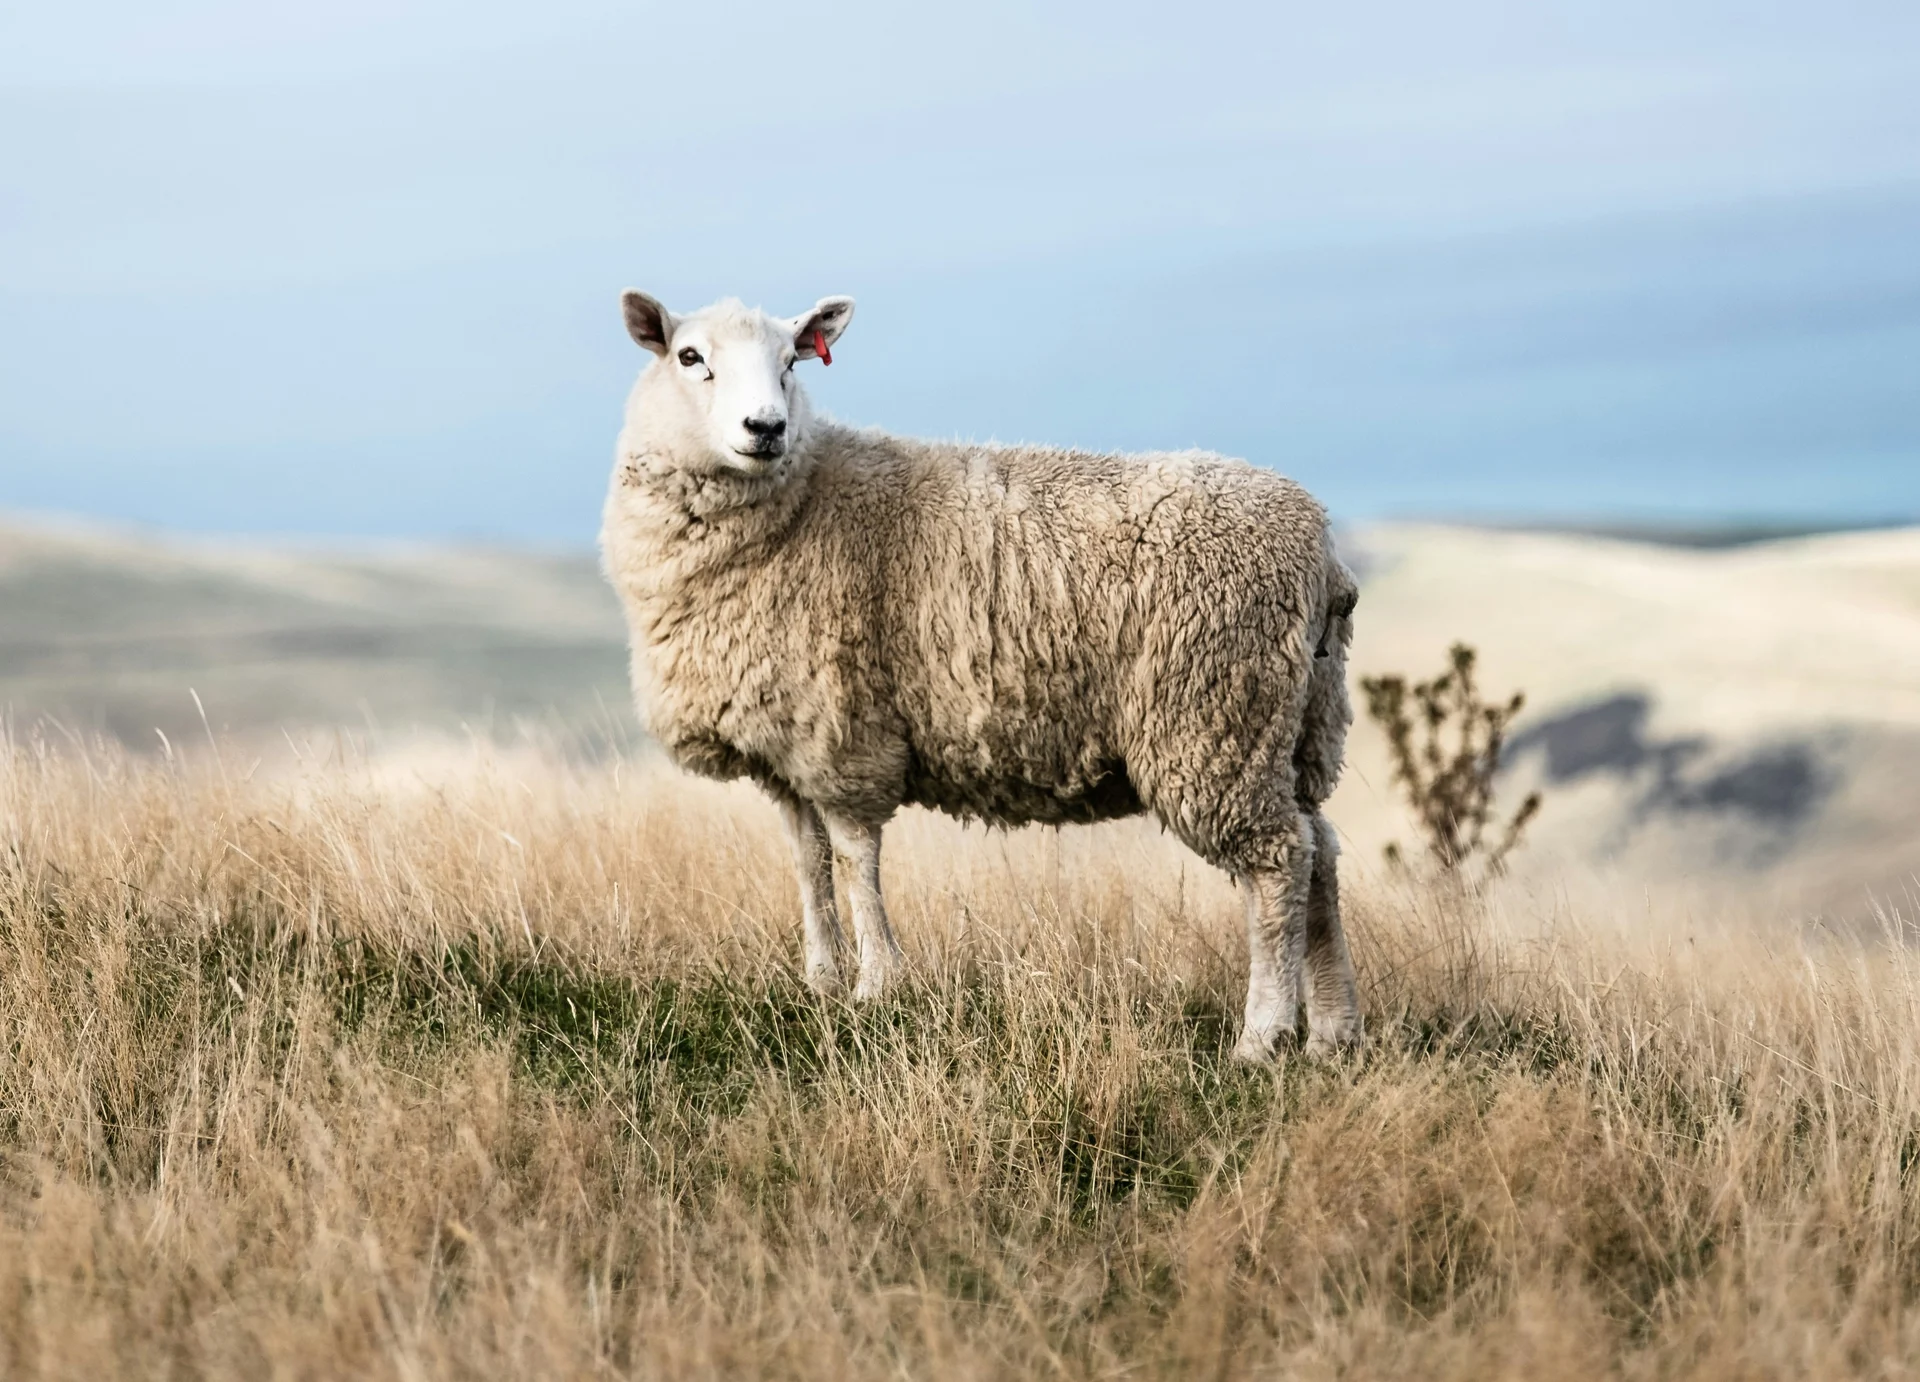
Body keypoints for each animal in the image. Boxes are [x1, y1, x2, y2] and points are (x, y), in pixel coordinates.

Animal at [601, 290, 1362, 1058]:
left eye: (791, 361)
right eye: (690, 357)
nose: (766, 428)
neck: (803, 500)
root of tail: (1322, 551)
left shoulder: (846, 735)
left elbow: (854, 859)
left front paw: (876, 986)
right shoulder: (789, 747)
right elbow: (809, 863)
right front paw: (820, 981)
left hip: (1214, 720)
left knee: (1277, 864)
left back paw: (1262, 1036)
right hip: (1295, 726)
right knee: (1319, 851)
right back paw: (1333, 1031)